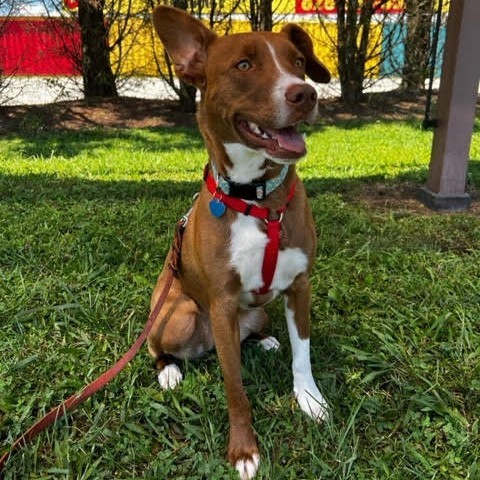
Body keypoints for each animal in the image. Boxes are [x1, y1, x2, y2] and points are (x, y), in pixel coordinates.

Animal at [149, 5, 330, 478]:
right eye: (244, 65)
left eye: (298, 62)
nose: (305, 94)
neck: (257, 197)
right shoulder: (223, 304)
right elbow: (235, 388)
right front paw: (244, 450)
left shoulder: (300, 288)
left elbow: (302, 355)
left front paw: (310, 401)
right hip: (177, 314)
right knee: (159, 349)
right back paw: (169, 372)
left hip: (258, 312)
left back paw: (263, 340)